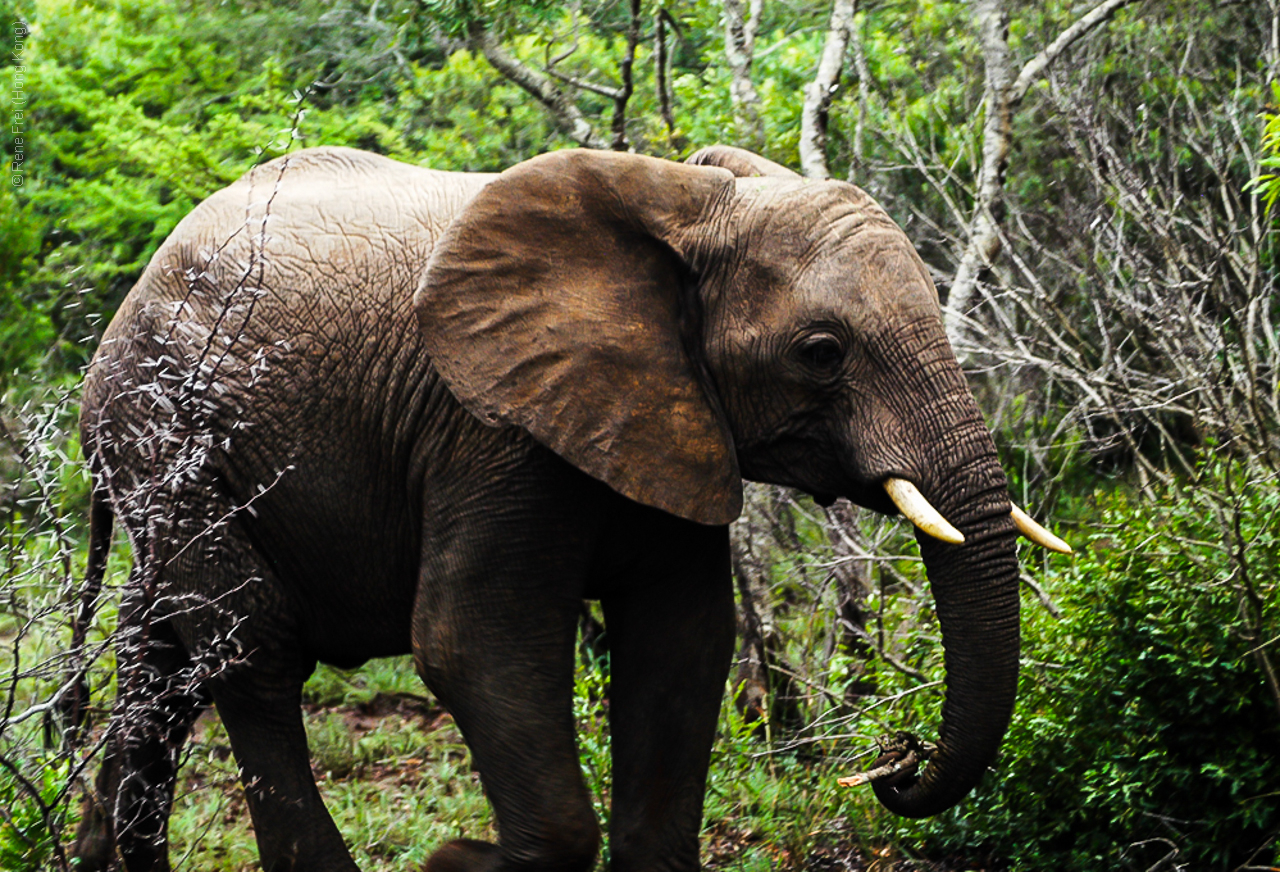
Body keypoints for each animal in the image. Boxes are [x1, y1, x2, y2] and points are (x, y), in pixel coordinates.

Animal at [72, 144, 1070, 870]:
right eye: (821, 352)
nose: (896, 764)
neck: (689, 201)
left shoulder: (666, 413)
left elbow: (681, 641)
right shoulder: (489, 432)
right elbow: (472, 642)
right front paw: (458, 860)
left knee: (160, 658)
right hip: (161, 432)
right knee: (253, 650)